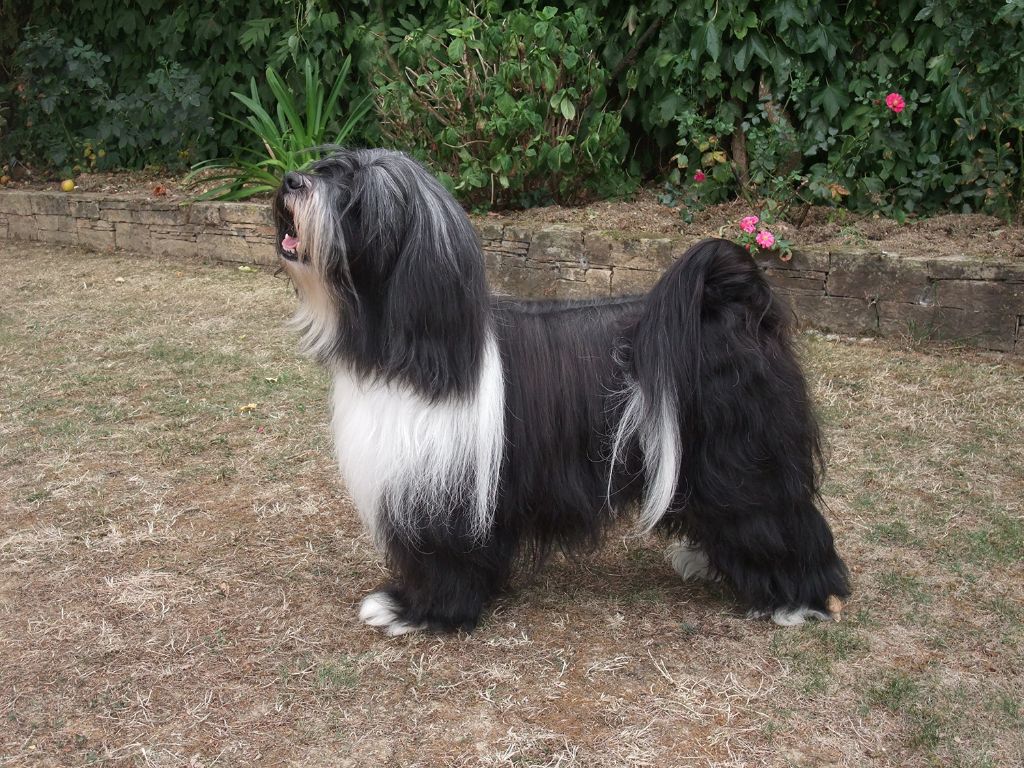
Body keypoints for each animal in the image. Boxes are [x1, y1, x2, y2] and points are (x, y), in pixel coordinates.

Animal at [273, 148, 850, 635]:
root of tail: (732, 302)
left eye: (353, 195)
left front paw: (415, 610)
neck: (411, 350)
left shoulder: (444, 491)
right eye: (326, 166)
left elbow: (442, 559)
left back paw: (797, 599)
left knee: (779, 517)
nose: (291, 181)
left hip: (743, 457)